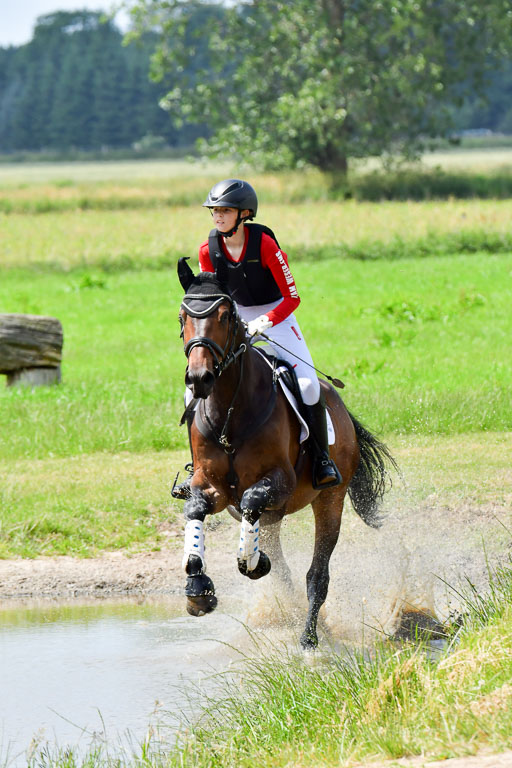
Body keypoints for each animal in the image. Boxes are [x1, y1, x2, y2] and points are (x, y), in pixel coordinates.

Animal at [176, 257, 397, 650]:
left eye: (225, 316)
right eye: (181, 318)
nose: (199, 378)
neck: (230, 412)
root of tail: (340, 406)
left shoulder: (278, 481)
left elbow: (252, 498)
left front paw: (249, 562)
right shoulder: (212, 486)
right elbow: (197, 509)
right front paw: (198, 588)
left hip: (329, 500)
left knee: (316, 574)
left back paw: (309, 638)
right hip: (271, 515)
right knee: (282, 569)